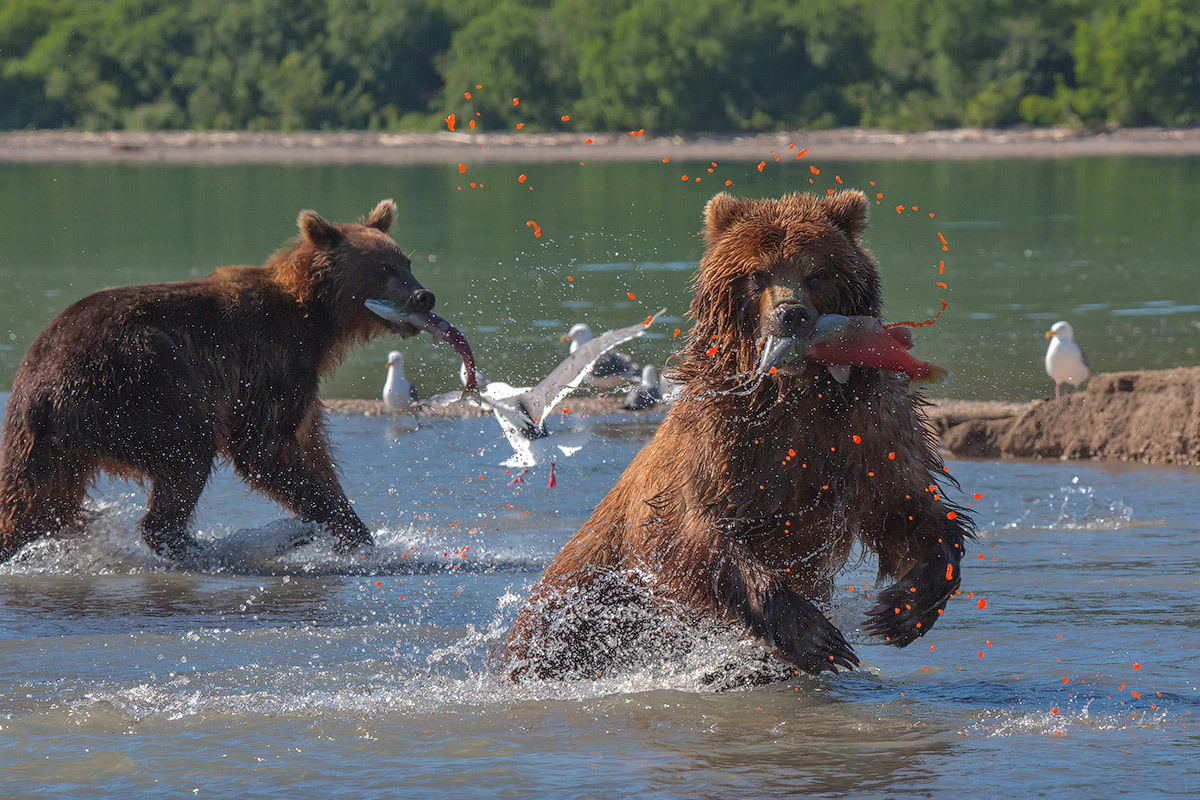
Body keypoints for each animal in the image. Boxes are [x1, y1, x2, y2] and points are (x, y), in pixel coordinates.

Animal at [0, 200, 432, 563]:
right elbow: (264, 446)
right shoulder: (270, 362)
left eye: (406, 262)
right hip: (136, 384)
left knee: (34, 500)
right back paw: (212, 544)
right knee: (188, 449)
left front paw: (356, 534)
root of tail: (40, 387)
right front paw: (325, 525)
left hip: (46, 439)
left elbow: (314, 450)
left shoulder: (303, 387)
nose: (424, 296)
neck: (316, 321)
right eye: (383, 268)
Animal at [506, 190, 974, 681]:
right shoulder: (722, 447)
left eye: (816, 272)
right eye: (757, 274)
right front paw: (818, 637)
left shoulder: (865, 432)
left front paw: (902, 609)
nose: (791, 314)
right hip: (579, 602)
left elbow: (908, 508)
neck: (793, 396)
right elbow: (693, 533)